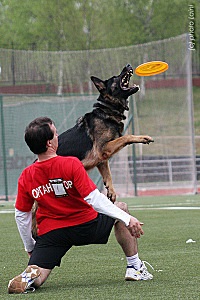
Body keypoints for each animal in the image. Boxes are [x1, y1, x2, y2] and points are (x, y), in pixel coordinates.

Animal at [31, 63, 153, 237]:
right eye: (115, 77)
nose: (128, 65)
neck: (108, 110)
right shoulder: (104, 148)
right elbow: (126, 137)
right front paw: (142, 138)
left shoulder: (101, 159)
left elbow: (108, 175)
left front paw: (111, 191)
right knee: (34, 211)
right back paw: (35, 229)